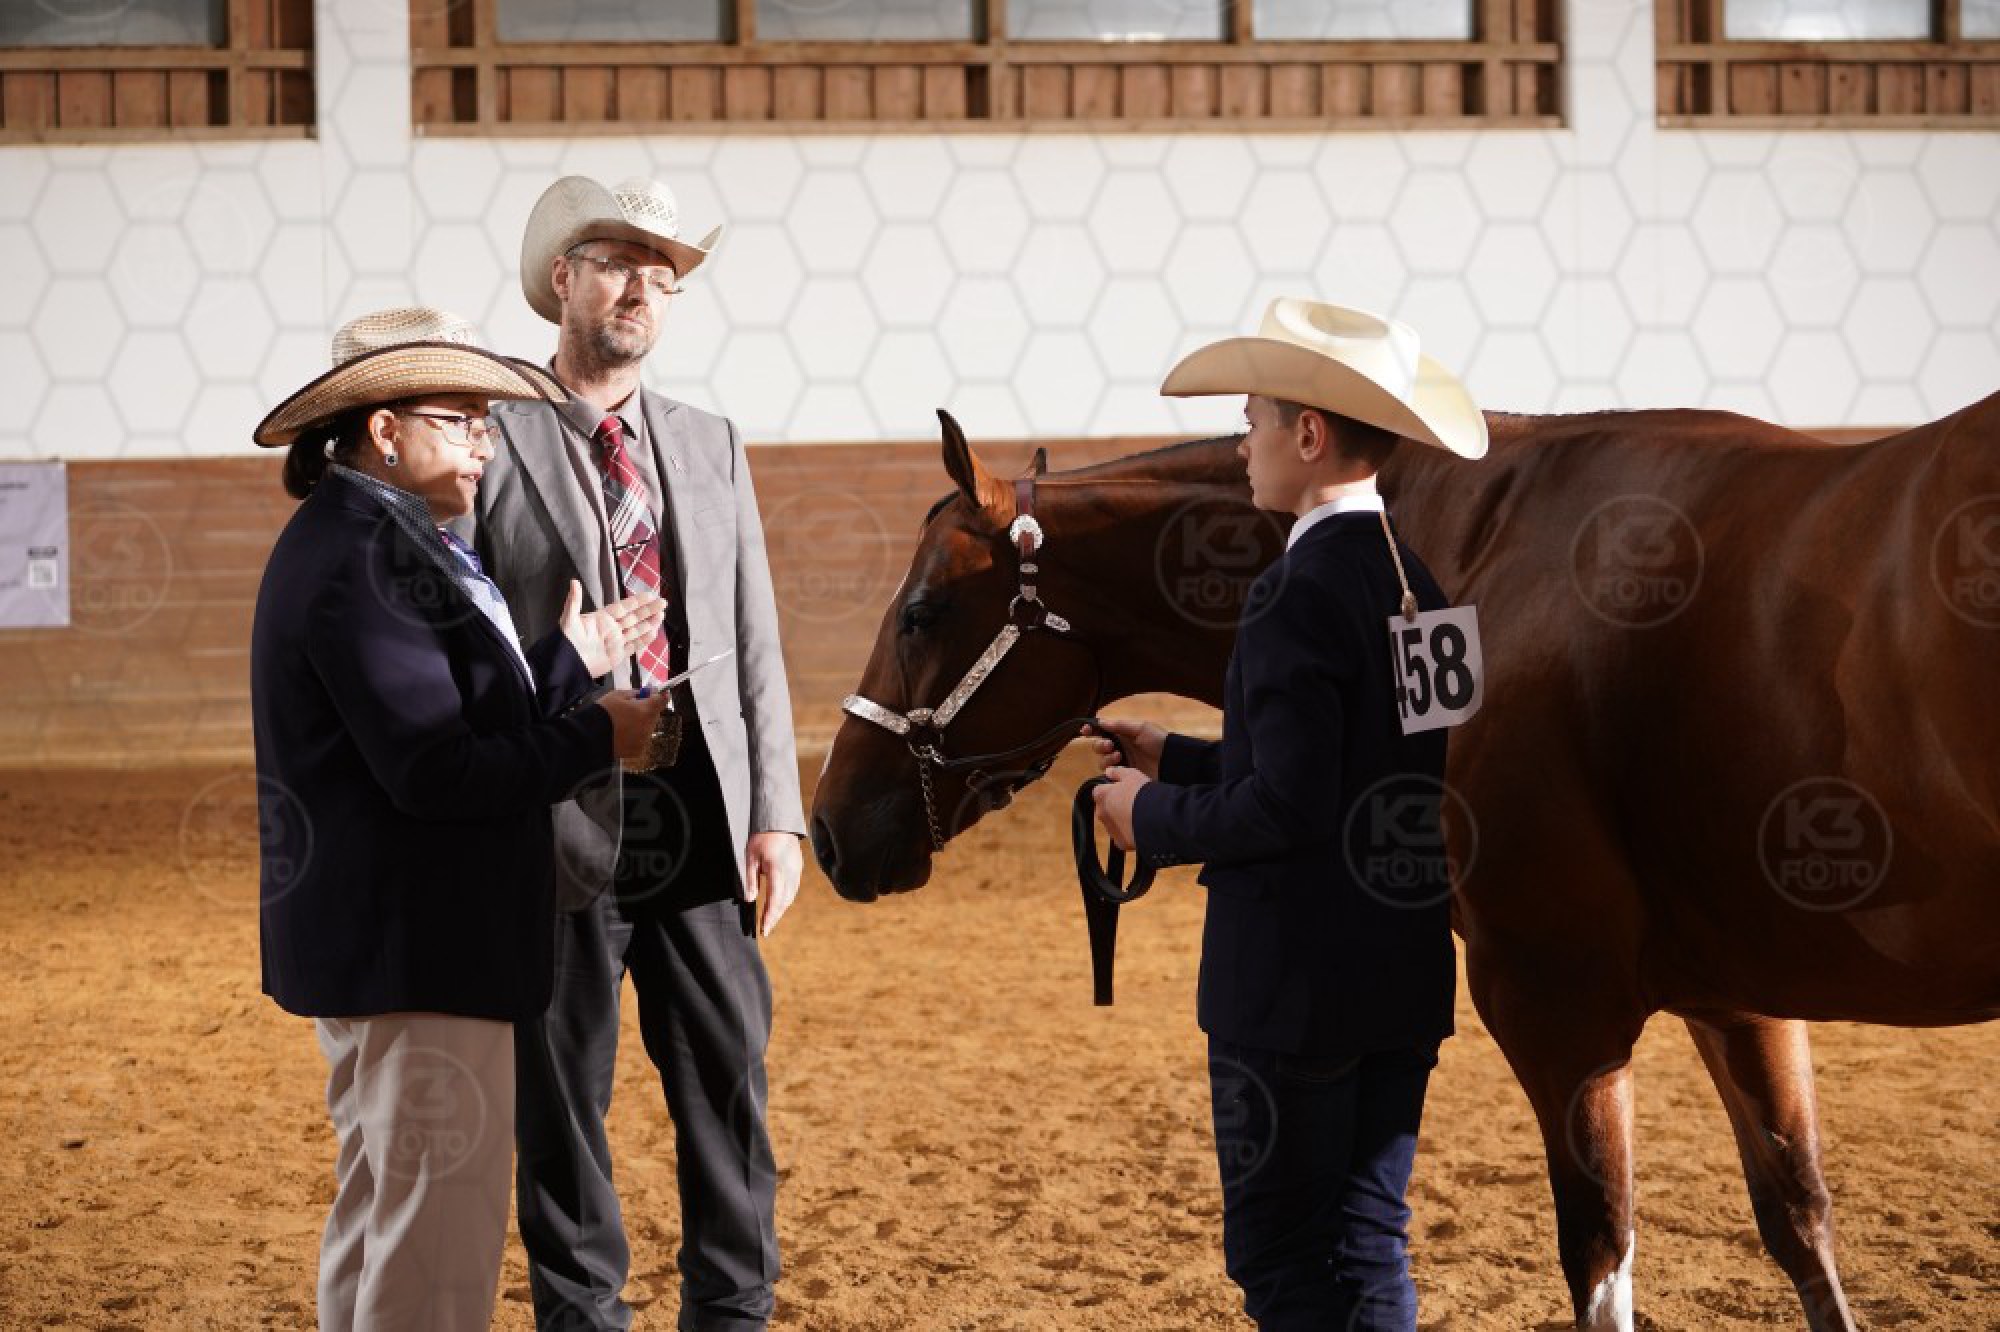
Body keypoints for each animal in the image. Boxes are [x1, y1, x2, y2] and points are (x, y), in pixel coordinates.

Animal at [808, 399, 2000, 1330]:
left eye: (921, 611)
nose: (827, 831)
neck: (1457, 546)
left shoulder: (1555, 1001)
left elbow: (1600, 1257)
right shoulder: (1736, 995)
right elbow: (1800, 1226)